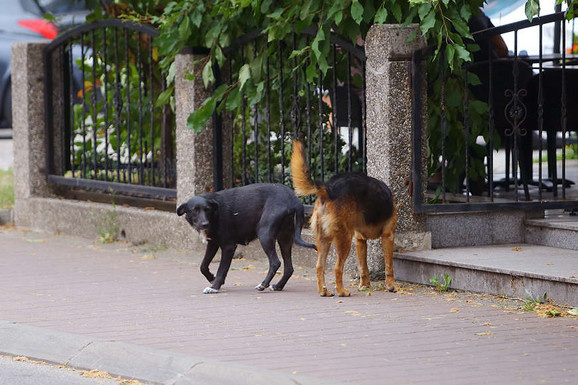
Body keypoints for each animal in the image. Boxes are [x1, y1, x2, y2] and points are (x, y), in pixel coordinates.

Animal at [177, 183, 316, 294]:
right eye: (194, 210)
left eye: (207, 210)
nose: (205, 224)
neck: (215, 214)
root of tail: (293, 199)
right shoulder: (213, 244)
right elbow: (203, 266)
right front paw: (211, 277)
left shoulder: (228, 247)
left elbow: (222, 269)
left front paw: (214, 287)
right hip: (285, 238)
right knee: (289, 268)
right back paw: (278, 286)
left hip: (264, 234)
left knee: (275, 262)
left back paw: (263, 285)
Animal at [288, 140, 396, 296]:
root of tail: (327, 189)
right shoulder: (388, 236)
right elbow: (389, 266)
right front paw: (391, 286)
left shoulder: (359, 240)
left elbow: (363, 267)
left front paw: (365, 285)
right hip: (345, 239)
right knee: (337, 268)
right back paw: (342, 291)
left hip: (324, 239)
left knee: (319, 266)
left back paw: (324, 291)